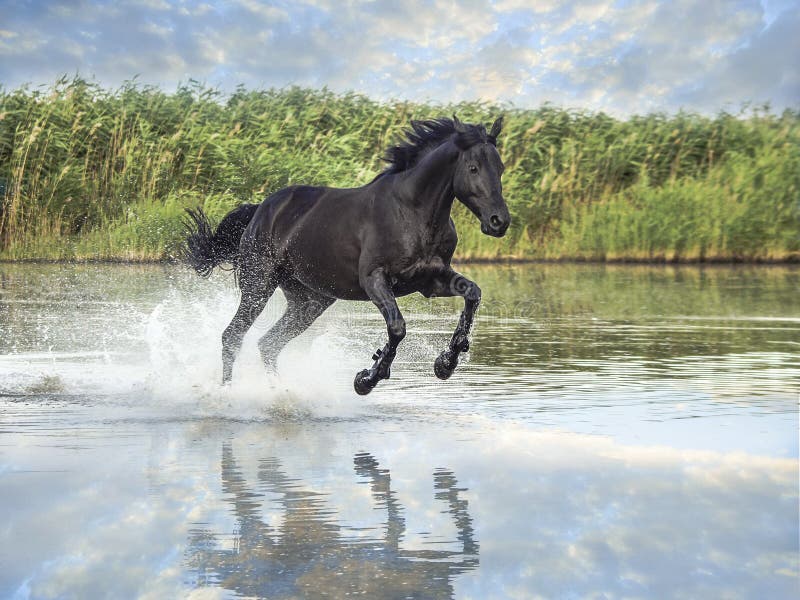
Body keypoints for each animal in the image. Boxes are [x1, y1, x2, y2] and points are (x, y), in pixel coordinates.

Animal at [184, 115, 510, 396]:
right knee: (233, 336)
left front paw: (446, 363)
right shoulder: (375, 280)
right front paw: (366, 379)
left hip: (310, 301)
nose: (499, 221)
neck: (412, 213)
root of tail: (260, 210)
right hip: (259, 285)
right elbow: (397, 327)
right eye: (473, 168)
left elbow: (472, 294)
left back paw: (281, 394)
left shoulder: (430, 281)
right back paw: (228, 393)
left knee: (269, 344)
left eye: (500, 168)